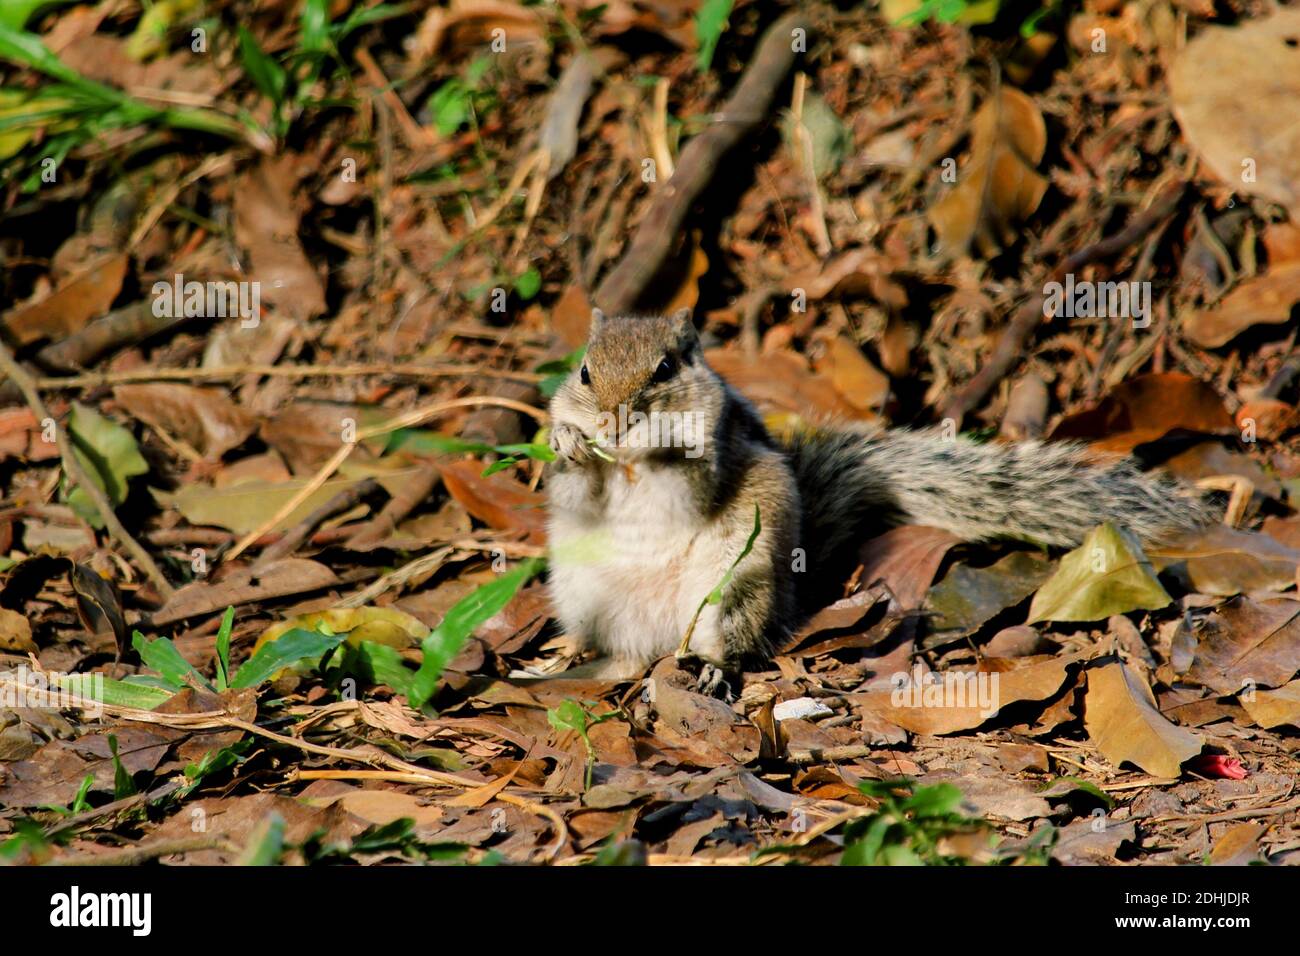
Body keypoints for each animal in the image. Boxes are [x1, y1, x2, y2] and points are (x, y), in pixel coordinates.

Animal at [543, 312, 1211, 697]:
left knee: (732, 642)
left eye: (664, 368)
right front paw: (569, 442)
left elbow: (686, 484)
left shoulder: (717, 454)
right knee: (597, 642)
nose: (613, 419)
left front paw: (657, 446)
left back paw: (712, 669)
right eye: (583, 372)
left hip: (735, 588)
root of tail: (654, 640)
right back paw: (561, 661)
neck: (624, 466)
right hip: (579, 591)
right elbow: (573, 490)